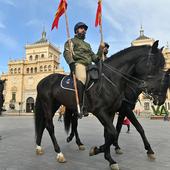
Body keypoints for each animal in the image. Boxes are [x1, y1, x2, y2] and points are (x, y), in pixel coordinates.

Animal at [34, 41, 166, 170]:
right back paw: (59, 153)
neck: (111, 80)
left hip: (55, 105)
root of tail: (42, 81)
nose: (160, 99)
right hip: (47, 104)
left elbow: (110, 133)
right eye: (154, 64)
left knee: (45, 124)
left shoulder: (111, 111)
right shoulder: (102, 111)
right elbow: (114, 132)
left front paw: (109, 157)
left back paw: (39, 147)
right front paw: (98, 150)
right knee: (50, 126)